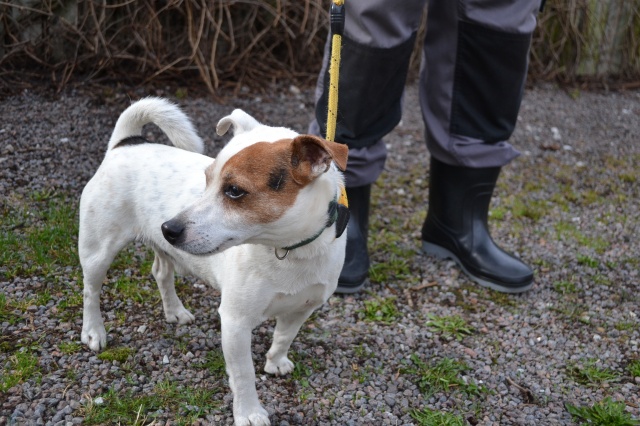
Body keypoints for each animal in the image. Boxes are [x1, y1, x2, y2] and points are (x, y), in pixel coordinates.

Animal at [78, 98, 349, 425]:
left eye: (234, 190)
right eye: (206, 180)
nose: (169, 229)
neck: (288, 250)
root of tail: (127, 143)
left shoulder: (302, 308)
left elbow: (284, 337)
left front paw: (275, 362)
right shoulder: (235, 322)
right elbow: (243, 375)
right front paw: (249, 413)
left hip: (162, 249)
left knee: (160, 273)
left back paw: (175, 311)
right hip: (98, 250)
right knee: (91, 291)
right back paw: (93, 331)